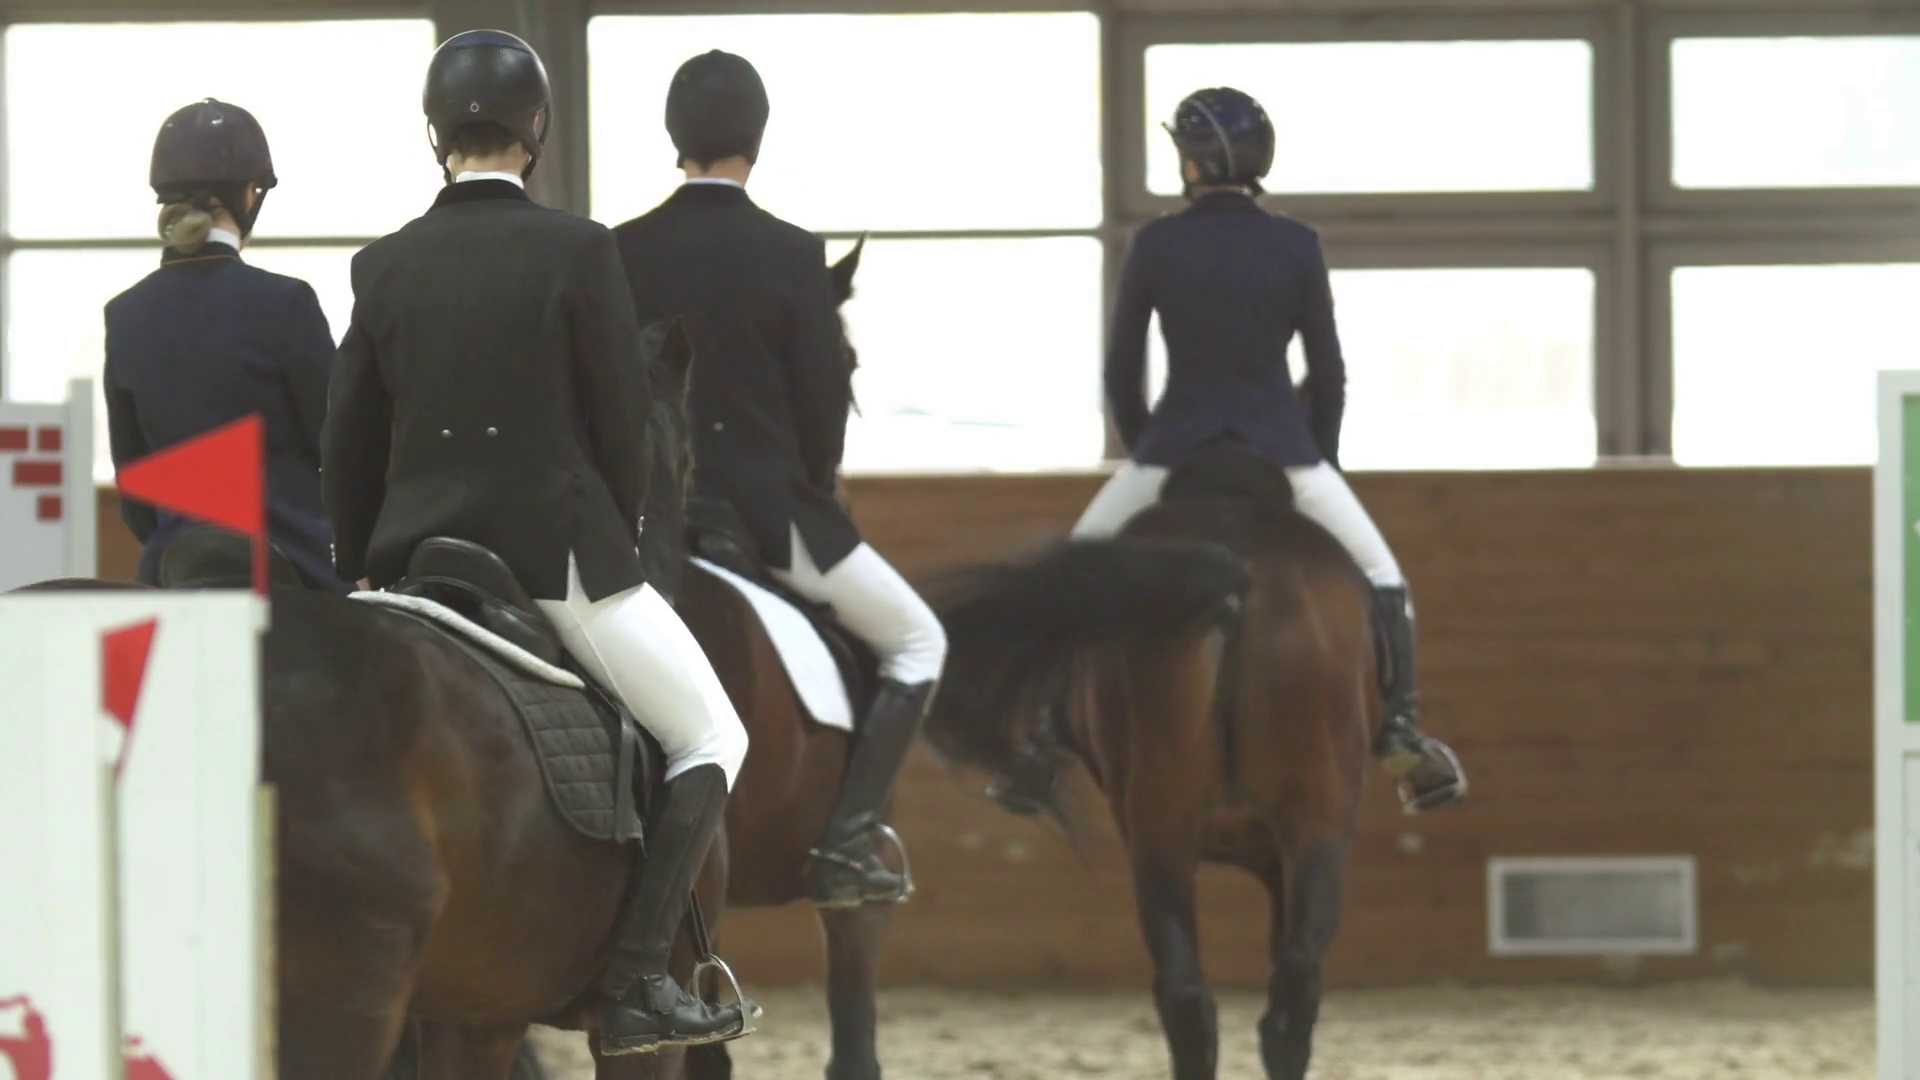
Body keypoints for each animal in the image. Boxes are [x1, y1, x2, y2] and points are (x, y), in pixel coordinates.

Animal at [919, 448, 1379, 1080]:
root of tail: (1238, 567)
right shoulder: (1279, 851)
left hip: (1163, 827)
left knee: (1197, 995)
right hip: (1307, 824)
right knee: (1287, 990)